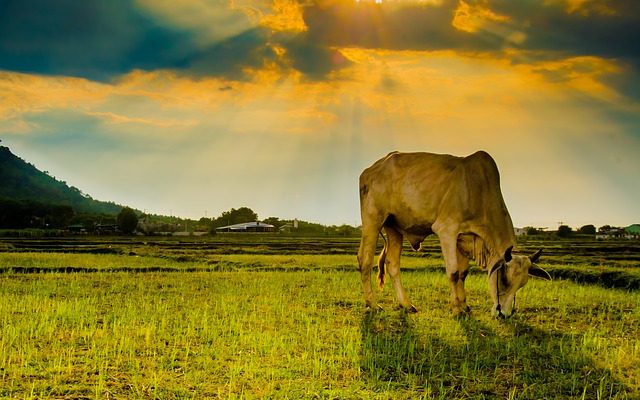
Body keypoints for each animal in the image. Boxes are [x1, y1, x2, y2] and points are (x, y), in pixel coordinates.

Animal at [356, 151, 552, 318]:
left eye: (522, 284)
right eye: (504, 279)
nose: (503, 314)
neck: (479, 191)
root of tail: (371, 169)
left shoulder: (463, 239)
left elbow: (463, 274)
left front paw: (464, 306)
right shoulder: (447, 231)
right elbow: (454, 272)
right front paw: (457, 309)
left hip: (394, 228)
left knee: (392, 264)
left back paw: (406, 304)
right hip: (373, 220)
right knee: (365, 259)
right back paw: (372, 303)